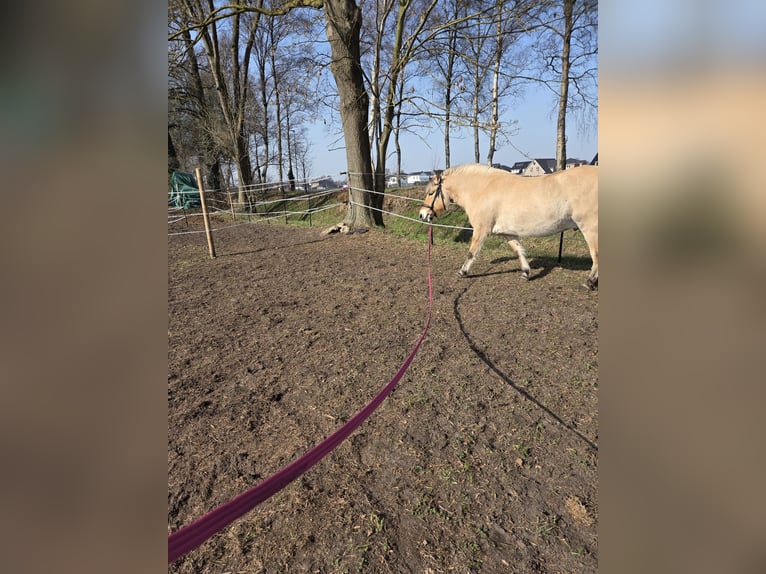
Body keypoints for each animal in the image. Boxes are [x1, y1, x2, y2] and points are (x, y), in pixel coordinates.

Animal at [418, 163, 598, 290]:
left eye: (430, 193)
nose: (422, 215)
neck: (483, 190)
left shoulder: (481, 230)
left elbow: (471, 253)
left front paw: (462, 272)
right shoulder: (507, 232)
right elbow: (518, 250)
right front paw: (526, 273)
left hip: (590, 228)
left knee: (595, 255)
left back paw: (589, 282)